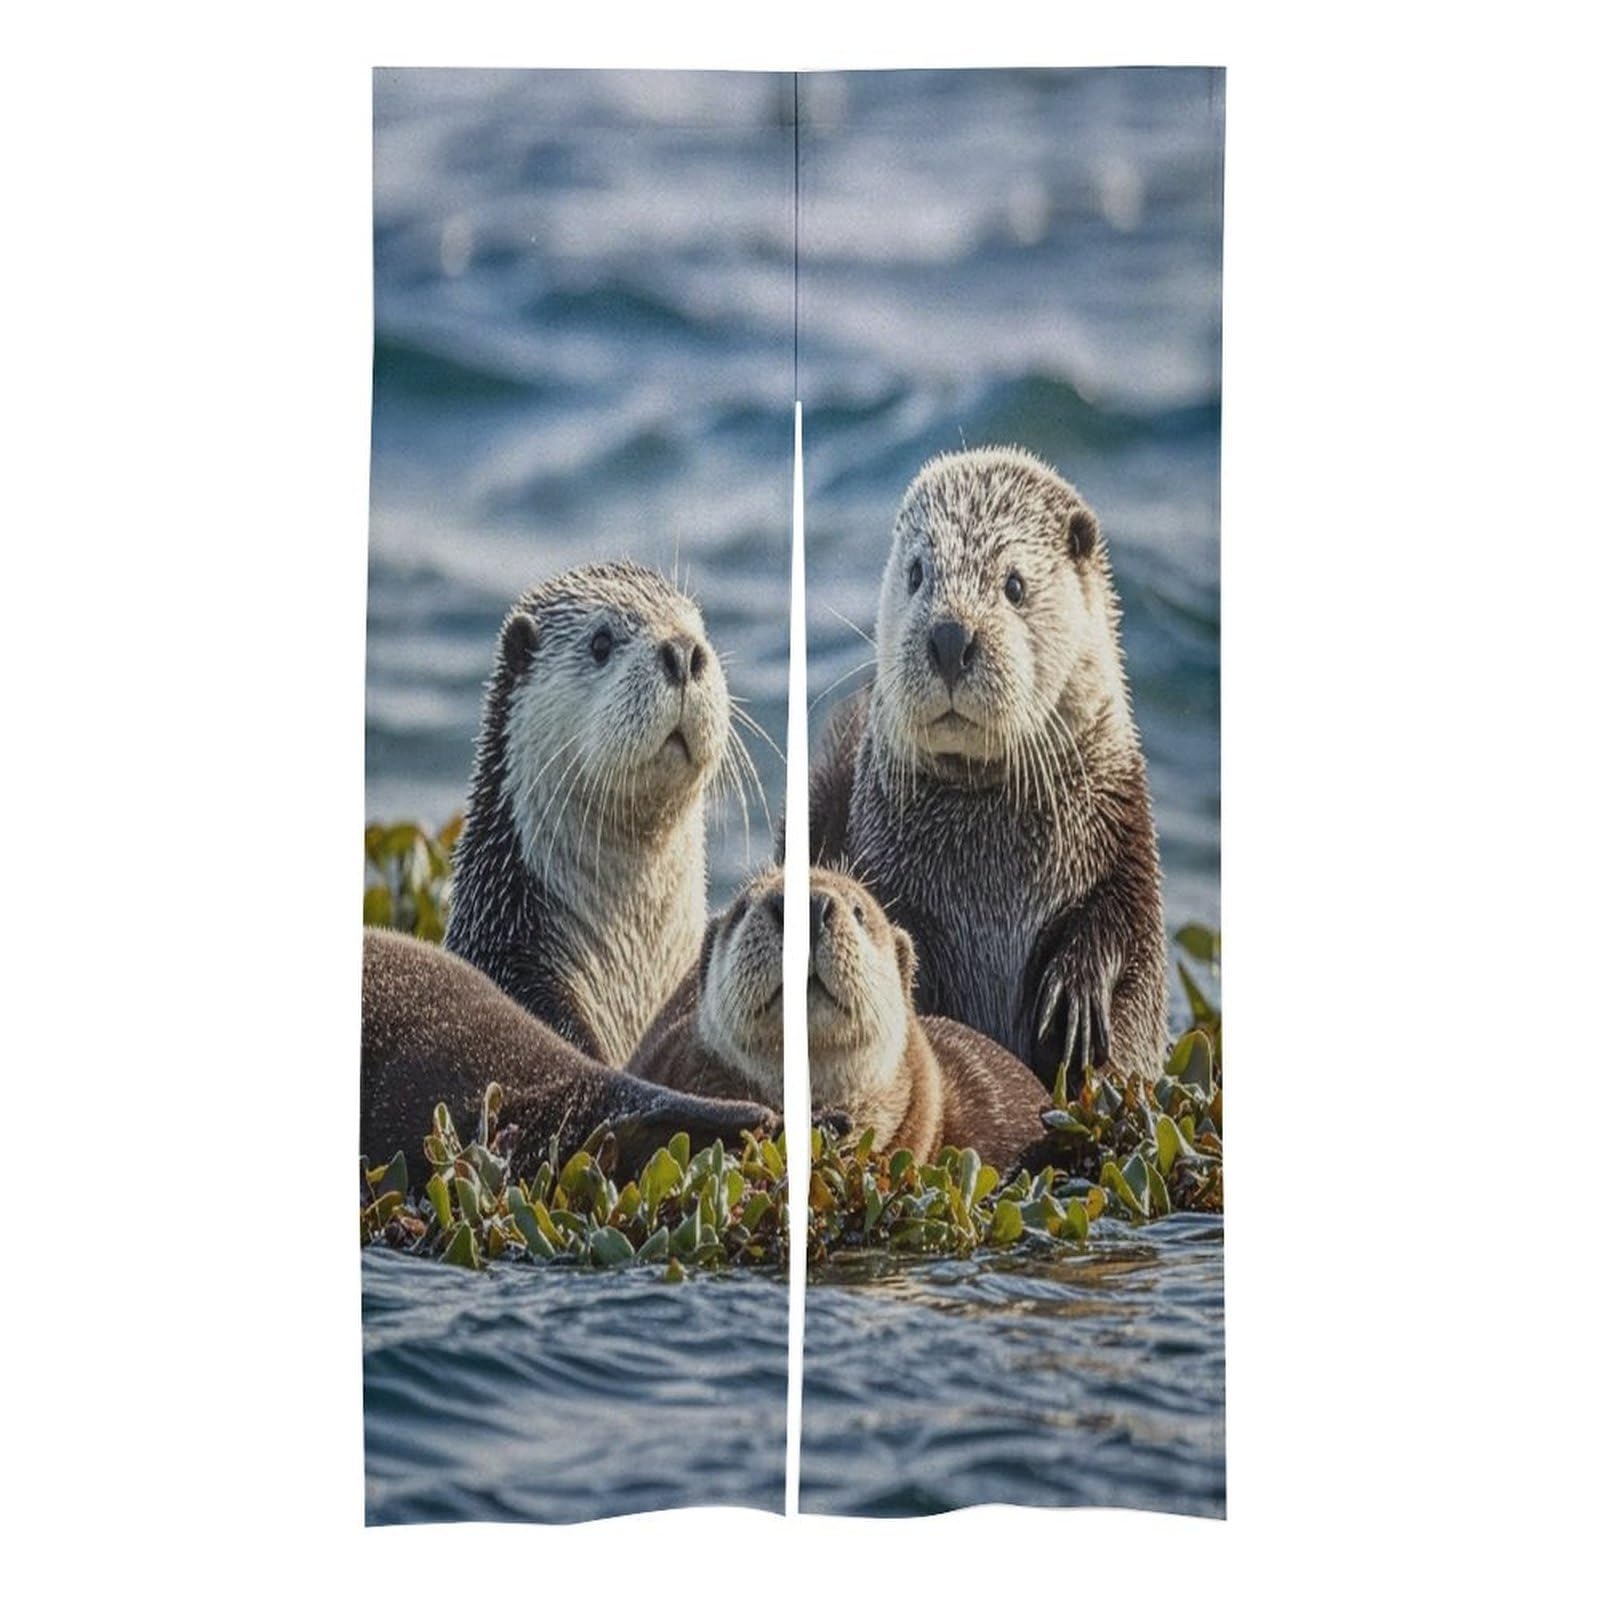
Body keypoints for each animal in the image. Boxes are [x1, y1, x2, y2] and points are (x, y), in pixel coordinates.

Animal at [809, 447, 1168, 1090]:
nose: (951, 636)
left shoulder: (1124, 840)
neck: (991, 880)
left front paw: (1076, 996)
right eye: (917, 573)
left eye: (1014, 584)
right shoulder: (884, 866)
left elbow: (1121, 924)